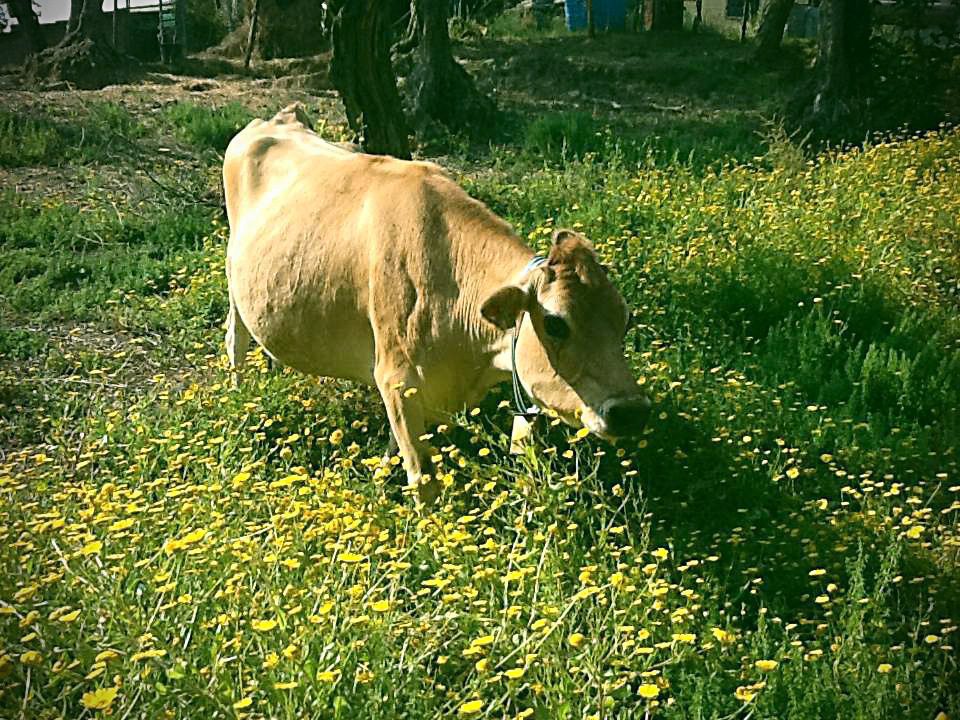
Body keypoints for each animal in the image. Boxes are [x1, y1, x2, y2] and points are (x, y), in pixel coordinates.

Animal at [223, 105, 651, 505]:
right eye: (556, 323)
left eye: (625, 321)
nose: (631, 411)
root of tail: (279, 118)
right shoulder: (397, 378)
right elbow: (423, 478)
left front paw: (380, 477)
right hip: (232, 277)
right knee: (235, 339)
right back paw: (241, 397)